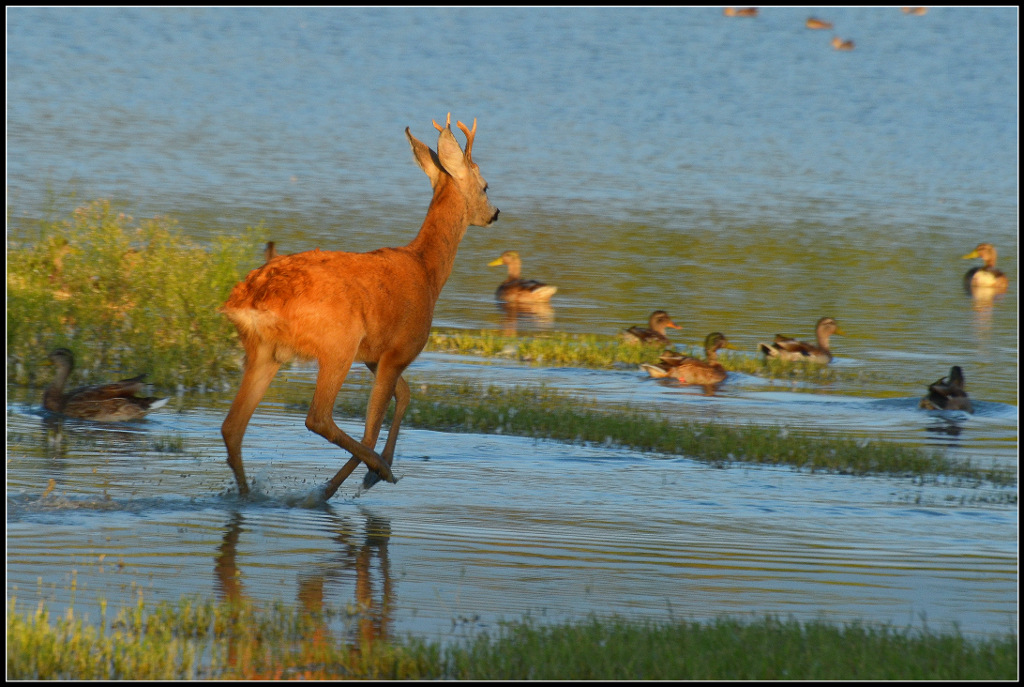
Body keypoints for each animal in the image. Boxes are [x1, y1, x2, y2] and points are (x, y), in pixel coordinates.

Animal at [220, 114, 499, 499]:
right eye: (486, 186)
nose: (495, 213)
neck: (427, 271)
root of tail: (251, 298)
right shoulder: (400, 349)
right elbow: (376, 422)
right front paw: (370, 474)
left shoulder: (374, 354)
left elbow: (405, 395)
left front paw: (372, 471)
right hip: (337, 343)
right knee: (318, 417)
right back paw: (350, 480)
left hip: (265, 351)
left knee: (232, 427)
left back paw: (249, 494)